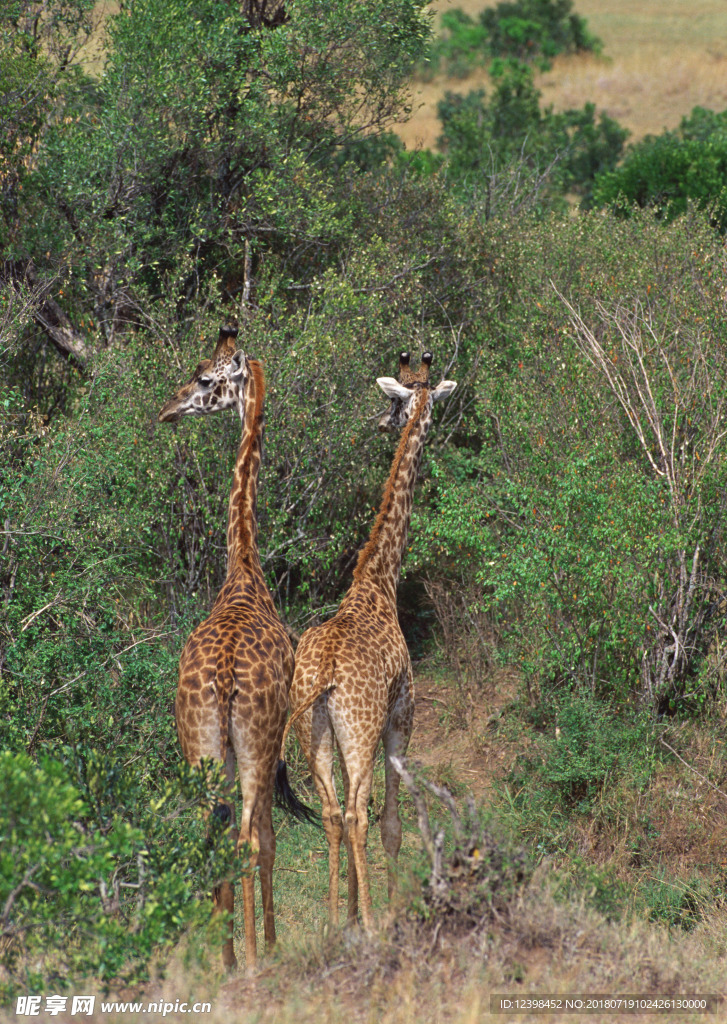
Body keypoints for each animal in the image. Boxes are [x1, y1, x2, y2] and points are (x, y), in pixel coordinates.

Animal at [278, 350, 454, 929]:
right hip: (360, 731)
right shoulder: (403, 715)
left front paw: (353, 911)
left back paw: (337, 920)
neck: (378, 579)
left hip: (314, 732)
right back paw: (374, 923)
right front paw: (389, 909)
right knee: (357, 813)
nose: (380, 423)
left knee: (333, 812)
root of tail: (328, 675)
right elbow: (393, 825)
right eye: (398, 401)